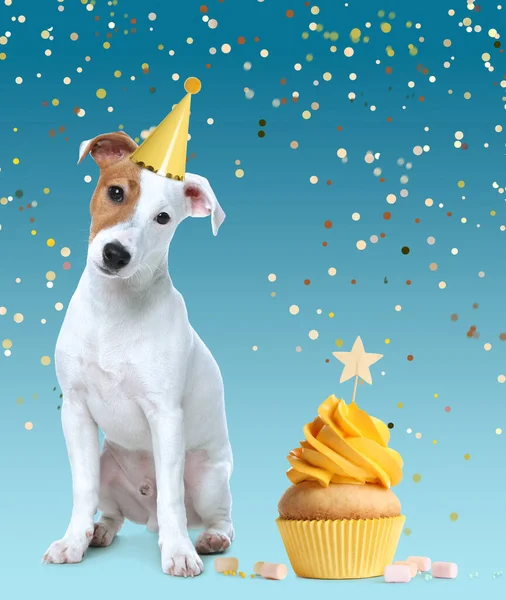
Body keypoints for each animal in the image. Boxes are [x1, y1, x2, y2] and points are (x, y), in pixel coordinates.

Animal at [43, 132, 233, 576]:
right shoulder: (75, 410)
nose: (116, 254)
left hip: (208, 478)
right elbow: (82, 489)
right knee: (113, 512)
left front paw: (179, 552)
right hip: (108, 467)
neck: (114, 310)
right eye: (116, 192)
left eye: (163, 218)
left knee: (216, 515)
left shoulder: (165, 416)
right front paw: (72, 542)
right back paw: (99, 532)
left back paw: (209, 539)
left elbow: (171, 498)